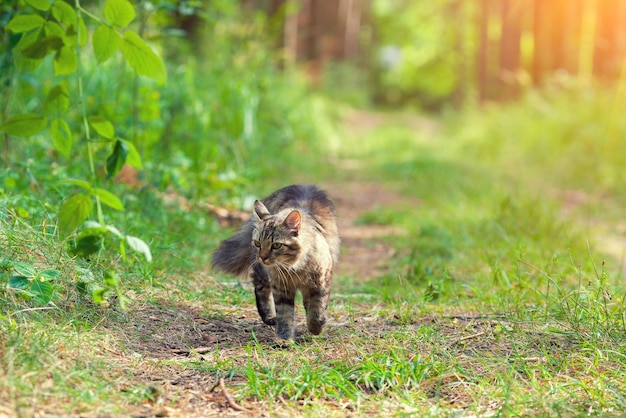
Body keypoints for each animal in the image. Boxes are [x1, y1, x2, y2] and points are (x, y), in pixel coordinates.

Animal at [211, 185, 338, 342]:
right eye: (258, 243)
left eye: (276, 245)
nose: (263, 257)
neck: (294, 268)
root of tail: (304, 185)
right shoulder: (281, 288)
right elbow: (285, 315)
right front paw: (284, 339)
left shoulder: (320, 283)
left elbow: (316, 311)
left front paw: (316, 328)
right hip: (262, 272)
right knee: (260, 288)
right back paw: (270, 316)